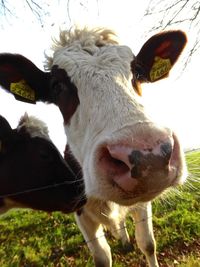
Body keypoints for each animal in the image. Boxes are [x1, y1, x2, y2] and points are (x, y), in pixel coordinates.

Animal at [0, 27, 188, 267]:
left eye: (137, 72)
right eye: (57, 87)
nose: (148, 158)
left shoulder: (143, 203)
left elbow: (147, 243)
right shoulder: (80, 211)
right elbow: (102, 256)